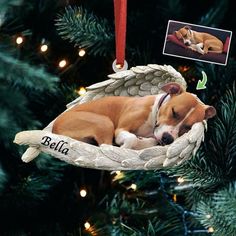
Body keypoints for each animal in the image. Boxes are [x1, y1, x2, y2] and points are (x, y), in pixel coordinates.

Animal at [52, 83, 217, 149]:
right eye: (174, 112)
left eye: (188, 127)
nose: (168, 139)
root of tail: (54, 129)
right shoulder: (121, 129)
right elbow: (131, 138)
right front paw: (129, 145)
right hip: (104, 122)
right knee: (107, 145)